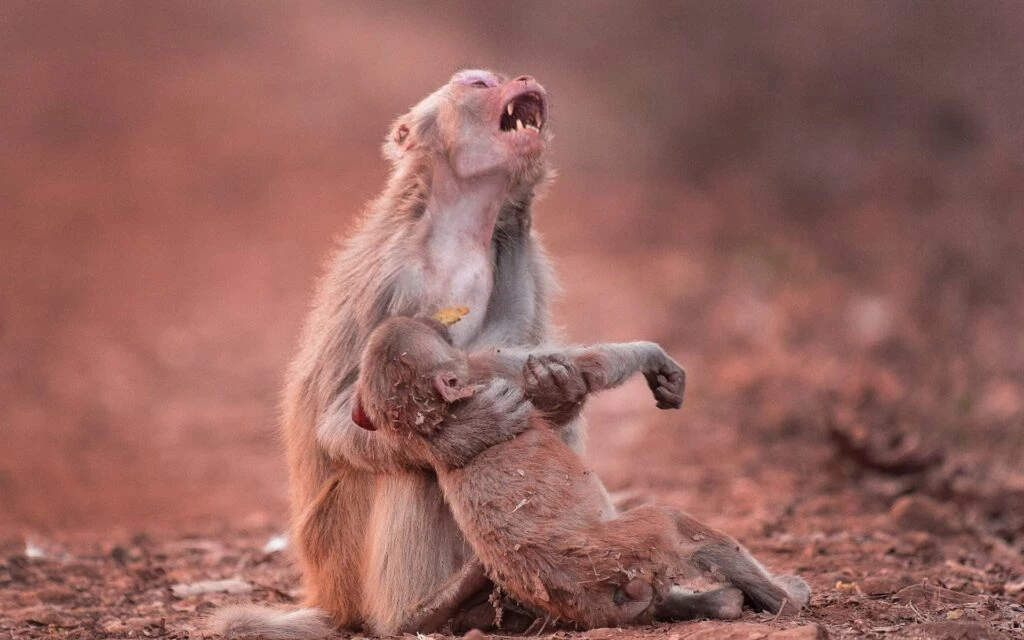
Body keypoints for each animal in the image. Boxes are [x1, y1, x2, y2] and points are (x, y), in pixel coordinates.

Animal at [209, 69, 593, 634]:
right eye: (479, 83)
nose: (521, 78)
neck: (457, 230)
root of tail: (324, 592)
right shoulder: (394, 282)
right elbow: (341, 418)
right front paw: (467, 434)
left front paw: (558, 386)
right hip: (339, 552)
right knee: (409, 468)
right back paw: (422, 611)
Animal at [352, 315, 806, 630]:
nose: (436, 321)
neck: (437, 419)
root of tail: (588, 597)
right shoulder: (485, 372)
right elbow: (591, 366)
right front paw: (652, 355)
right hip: (621, 549)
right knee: (669, 522)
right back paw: (783, 597)